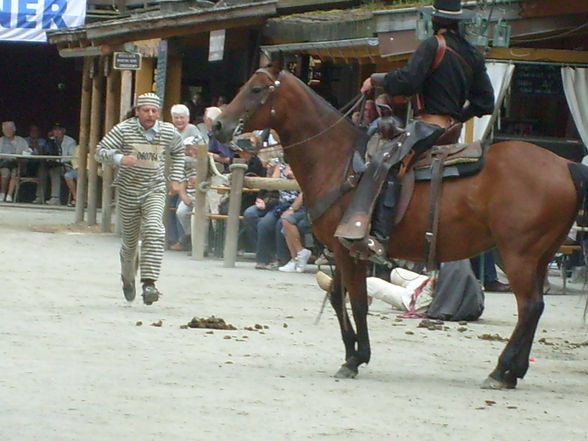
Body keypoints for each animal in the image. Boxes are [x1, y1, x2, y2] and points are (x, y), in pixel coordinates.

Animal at [215, 59, 588, 388]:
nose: (218, 126)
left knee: (529, 307)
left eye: (256, 89)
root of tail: (565, 165)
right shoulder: (340, 252)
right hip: (539, 256)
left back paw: (500, 371)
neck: (337, 159)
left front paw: (356, 359)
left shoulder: (350, 251)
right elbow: (337, 298)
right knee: (535, 309)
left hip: (518, 256)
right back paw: (514, 371)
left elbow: (358, 301)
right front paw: (352, 352)